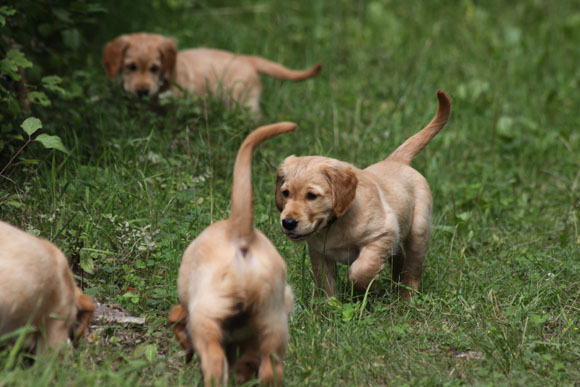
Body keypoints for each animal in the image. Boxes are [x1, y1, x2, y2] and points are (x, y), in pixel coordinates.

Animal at [276, 91, 454, 300]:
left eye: (312, 196)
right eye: (285, 193)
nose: (288, 223)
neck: (335, 224)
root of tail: (396, 160)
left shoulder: (382, 234)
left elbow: (360, 270)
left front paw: (367, 287)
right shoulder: (320, 253)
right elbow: (326, 284)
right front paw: (330, 305)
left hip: (418, 230)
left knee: (413, 268)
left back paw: (405, 298)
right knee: (399, 257)